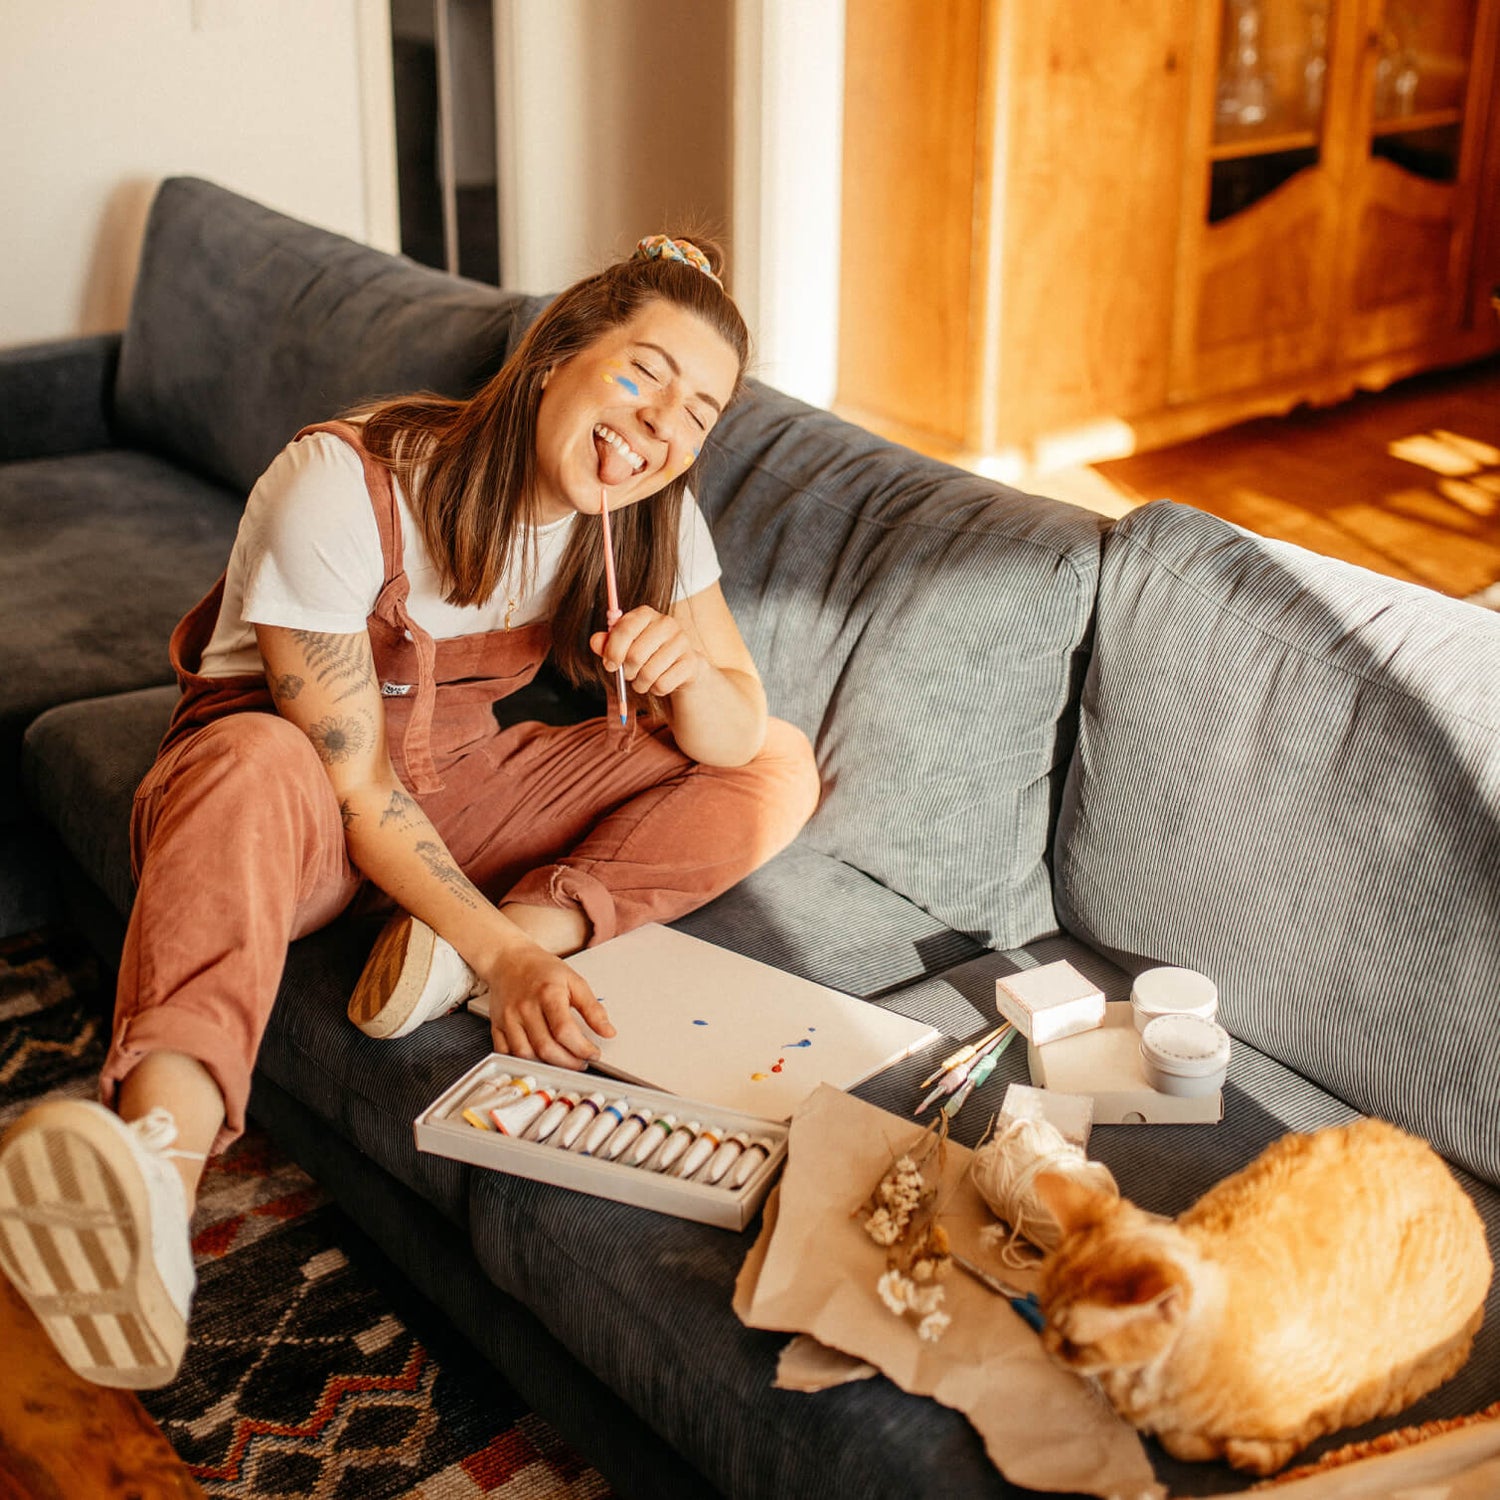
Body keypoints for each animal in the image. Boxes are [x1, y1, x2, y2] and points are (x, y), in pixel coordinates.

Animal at [1038, 1116, 1494, 1476]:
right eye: (1041, 1307)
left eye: (1073, 1343)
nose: (1044, 1347)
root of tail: (1451, 1181)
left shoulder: (1329, 1403)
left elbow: (1199, 1446)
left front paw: (1230, 1449)